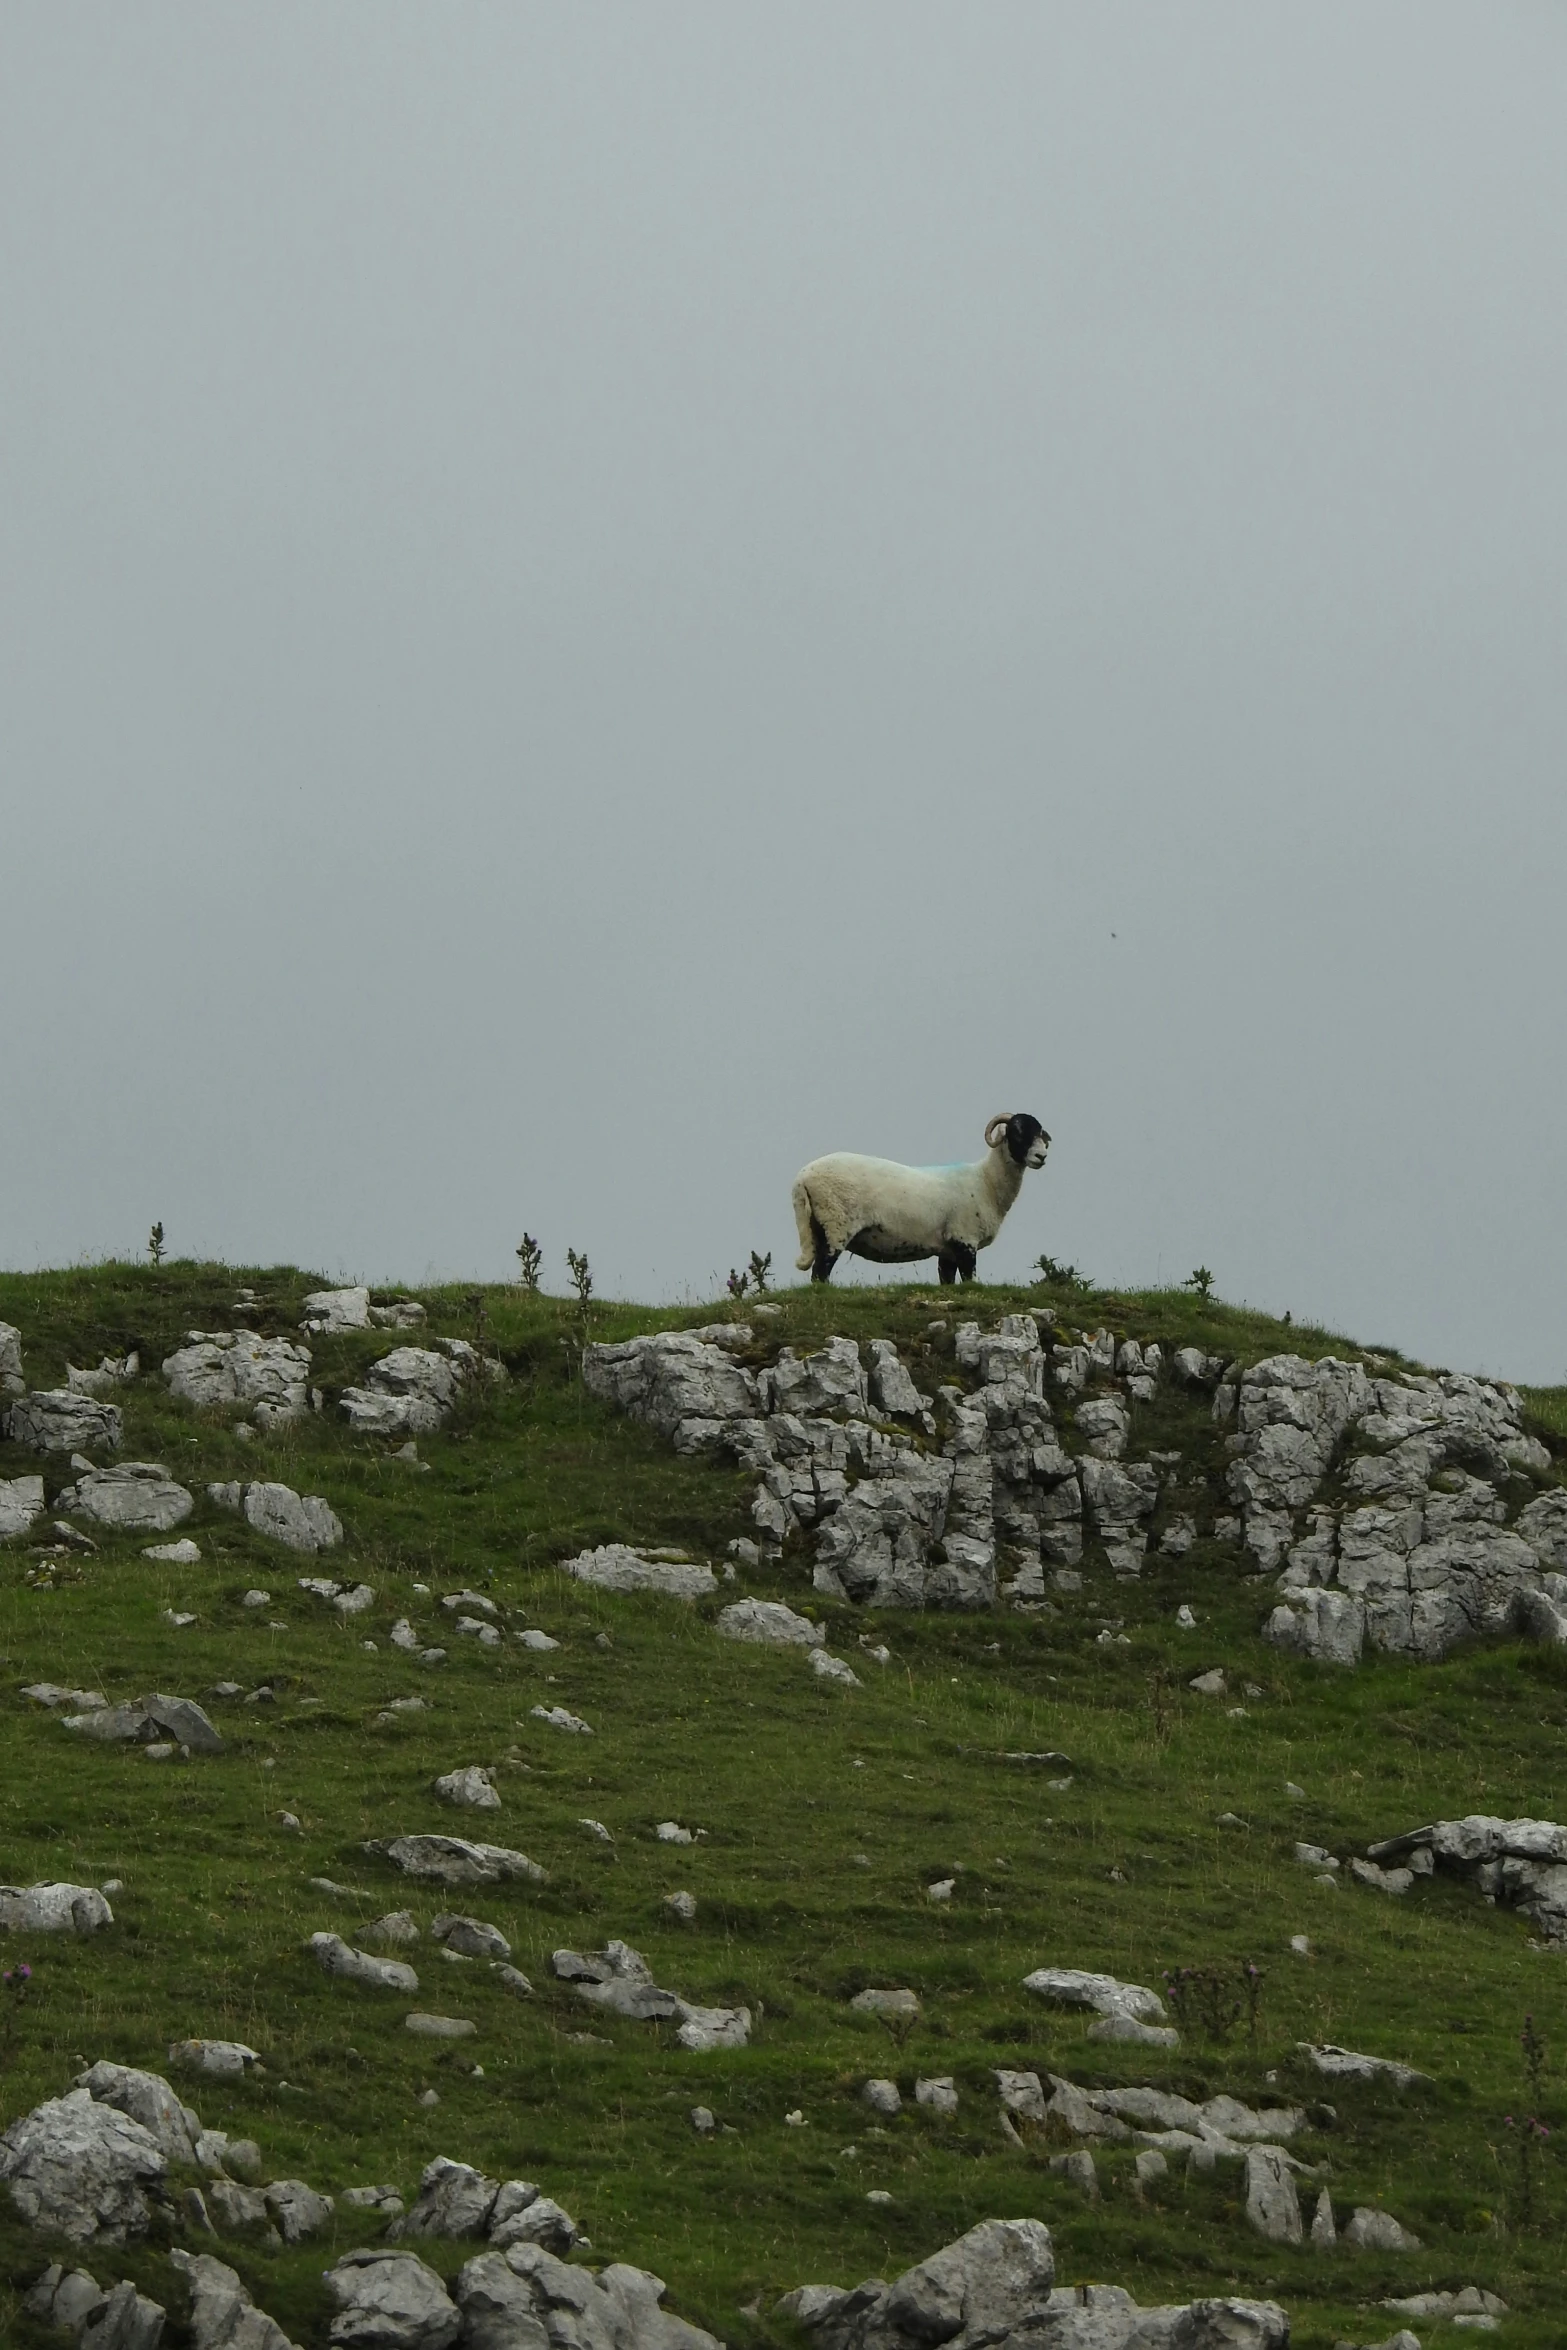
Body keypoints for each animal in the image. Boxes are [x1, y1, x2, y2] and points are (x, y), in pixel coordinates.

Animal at [798, 1113, 1052, 1287]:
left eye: (1040, 1133)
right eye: (1017, 1131)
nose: (1042, 1157)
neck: (986, 1181)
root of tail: (803, 1177)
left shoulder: (947, 1250)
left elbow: (948, 1282)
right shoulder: (965, 1240)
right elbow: (970, 1280)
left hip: (817, 1226)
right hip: (836, 1224)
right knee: (821, 1271)